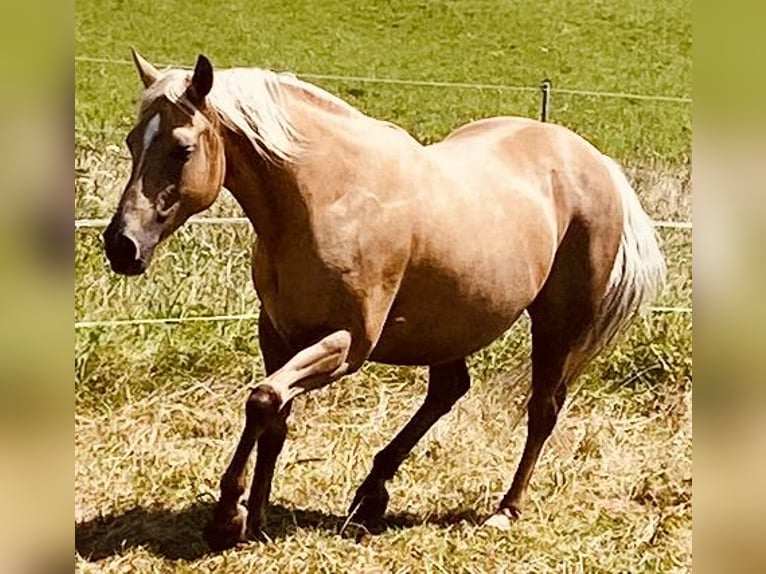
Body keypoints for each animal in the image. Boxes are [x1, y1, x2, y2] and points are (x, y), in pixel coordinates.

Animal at [102, 50, 666, 551]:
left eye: (182, 149)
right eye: (133, 141)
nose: (121, 246)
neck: (326, 197)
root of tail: (595, 161)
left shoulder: (348, 344)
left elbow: (261, 400)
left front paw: (226, 520)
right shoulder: (278, 335)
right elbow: (273, 416)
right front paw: (255, 517)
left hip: (556, 322)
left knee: (542, 409)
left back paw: (504, 510)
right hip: (449, 324)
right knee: (448, 391)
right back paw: (371, 494)